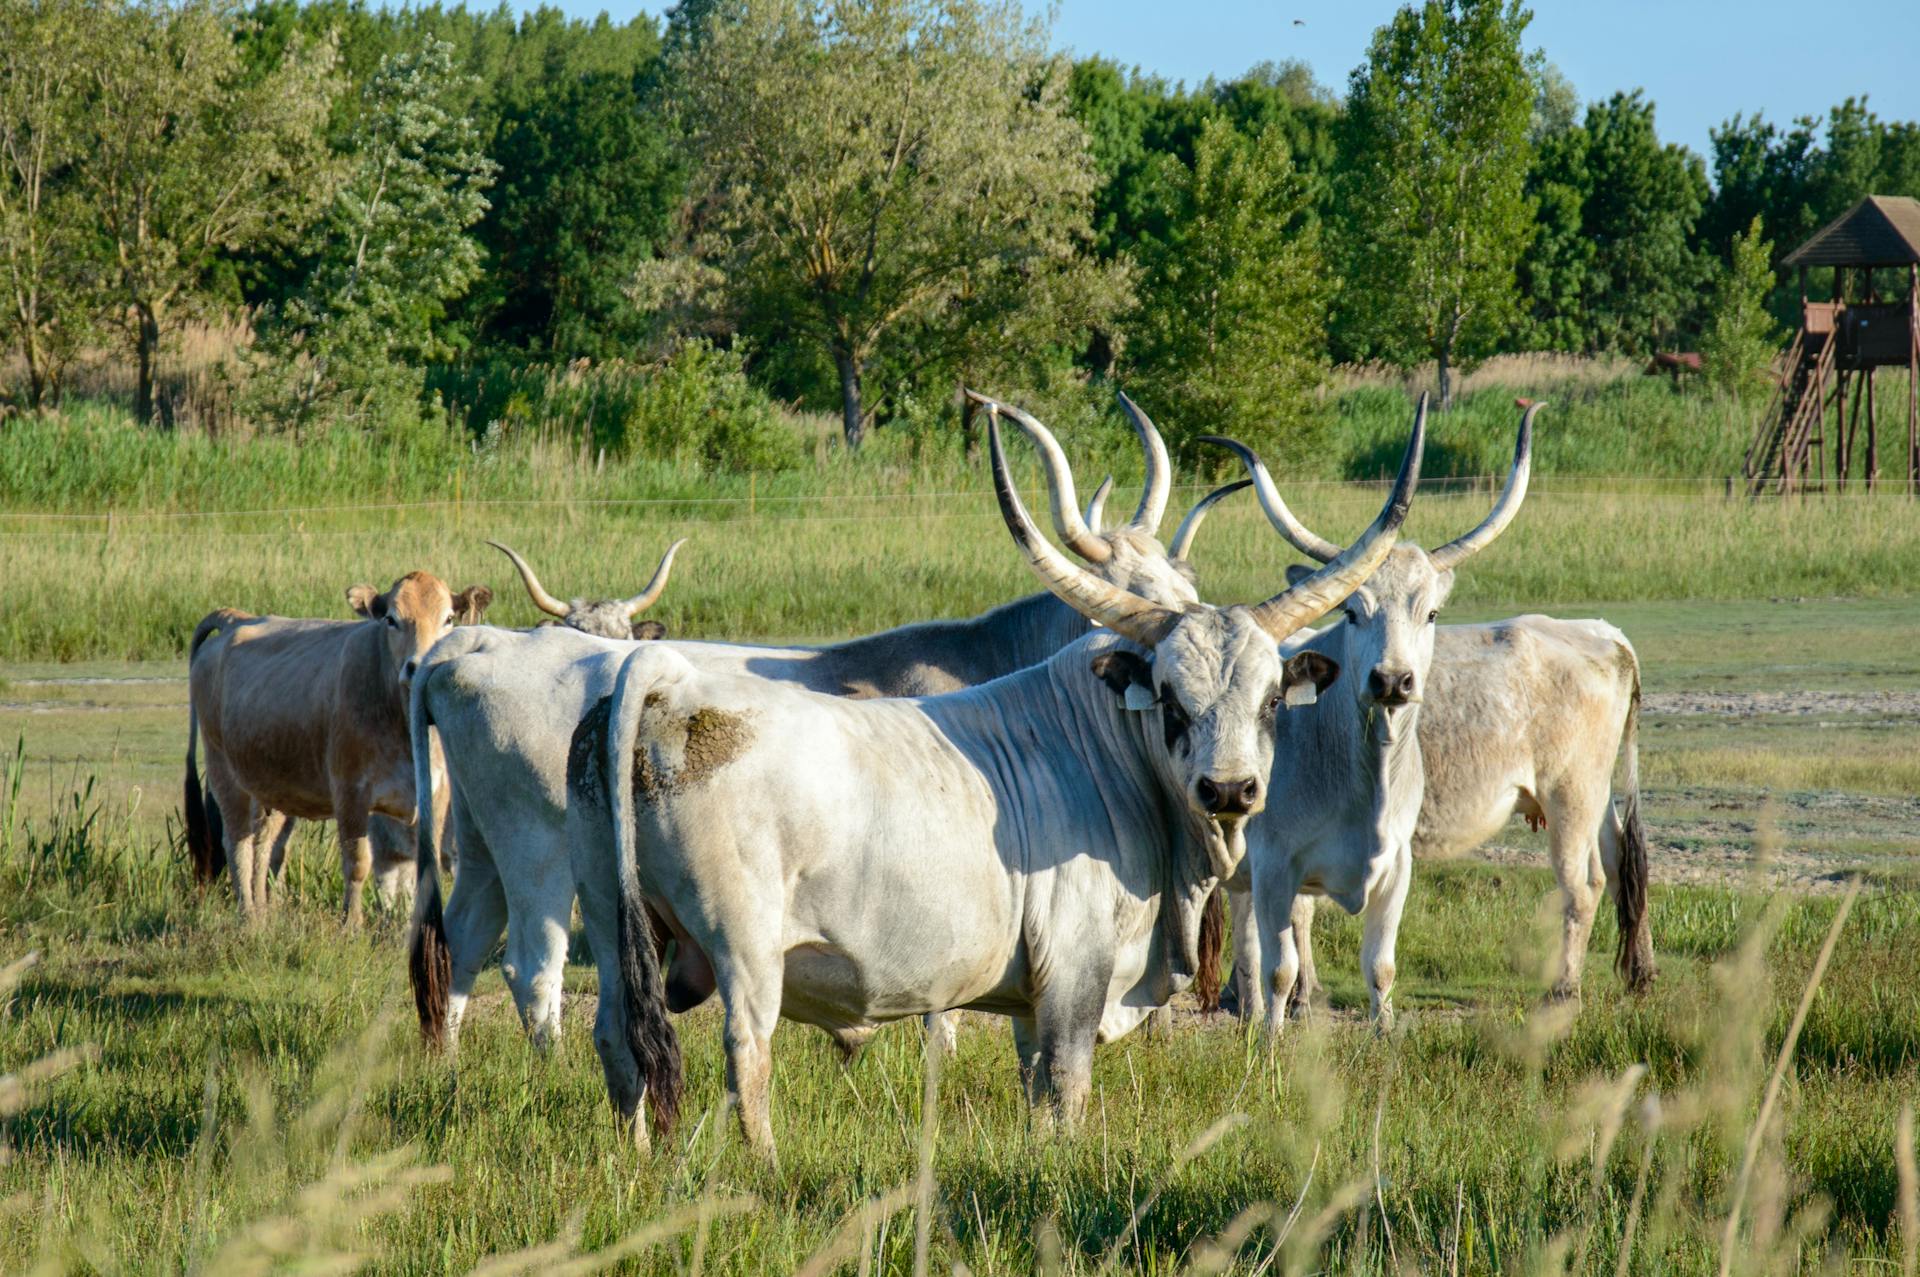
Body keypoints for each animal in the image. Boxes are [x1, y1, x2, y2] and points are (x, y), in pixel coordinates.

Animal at [183, 572, 491, 921]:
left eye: (448, 618)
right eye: (391, 619)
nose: (419, 665)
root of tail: (238, 619)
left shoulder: (435, 796)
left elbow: (424, 866)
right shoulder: (351, 792)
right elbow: (358, 863)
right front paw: (351, 923)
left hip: (271, 785)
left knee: (265, 844)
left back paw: (263, 913)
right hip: (224, 772)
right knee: (238, 843)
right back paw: (247, 915)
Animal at [408, 403, 1228, 1052]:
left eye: (1181, 585)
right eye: (1128, 589)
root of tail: (476, 643)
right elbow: (943, 1010)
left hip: (480, 844)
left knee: (465, 942)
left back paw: (448, 1064)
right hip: (538, 853)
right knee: (532, 966)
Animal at [568, 403, 1428, 1152]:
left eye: (1273, 697)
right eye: (1172, 699)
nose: (1229, 791)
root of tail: (664, 679)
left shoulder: (1029, 994)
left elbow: (1034, 1089)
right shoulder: (1077, 977)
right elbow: (1067, 1088)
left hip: (616, 926)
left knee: (618, 1039)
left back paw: (637, 1161)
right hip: (745, 946)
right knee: (747, 1053)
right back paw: (767, 1167)